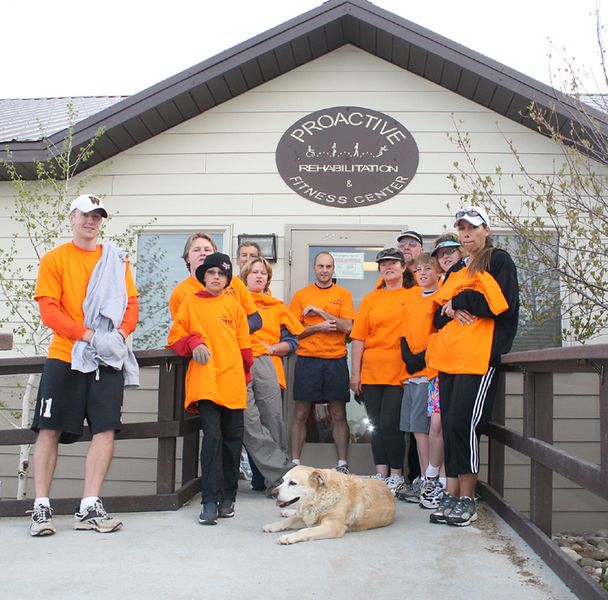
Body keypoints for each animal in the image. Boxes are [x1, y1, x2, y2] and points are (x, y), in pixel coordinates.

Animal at [262, 464, 396, 544]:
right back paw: (287, 512)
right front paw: (272, 525)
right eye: (283, 480)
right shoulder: (309, 517)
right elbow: (289, 521)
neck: (319, 497)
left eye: (293, 483)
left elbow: (305, 531)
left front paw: (289, 537)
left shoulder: (333, 526)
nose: (273, 493)